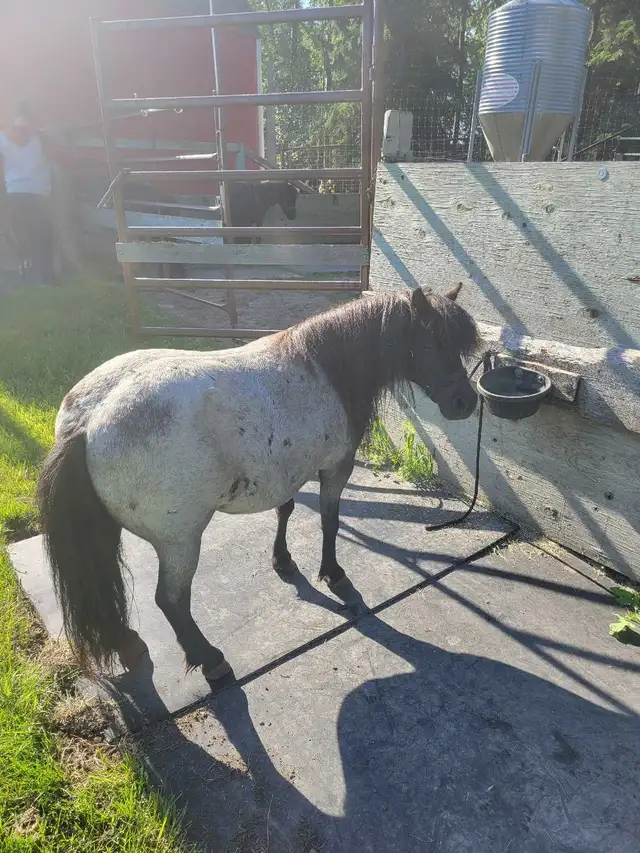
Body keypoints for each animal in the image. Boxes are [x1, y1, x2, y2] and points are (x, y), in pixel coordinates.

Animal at [37, 285, 478, 690]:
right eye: (429, 341)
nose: (466, 403)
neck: (324, 368)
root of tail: (87, 424)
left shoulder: (287, 469)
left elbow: (286, 510)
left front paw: (283, 561)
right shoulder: (335, 467)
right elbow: (330, 522)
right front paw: (333, 574)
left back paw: (128, 645)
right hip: (180, 541)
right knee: (171, 600)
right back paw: (210, 659)